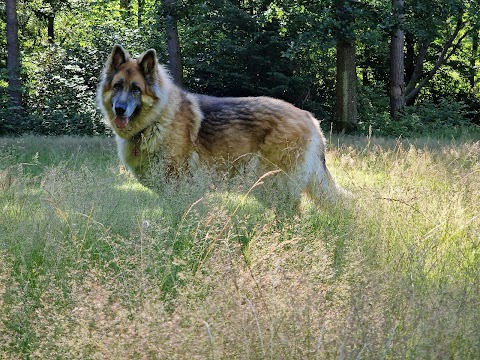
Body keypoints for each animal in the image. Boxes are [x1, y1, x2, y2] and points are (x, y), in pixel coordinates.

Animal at [96, 43, 348, 202]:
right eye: (117, 86)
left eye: (136, 89)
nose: (120, 109)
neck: (158, 118)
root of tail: (309, 117)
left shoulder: (180, 187)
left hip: (273, 185)